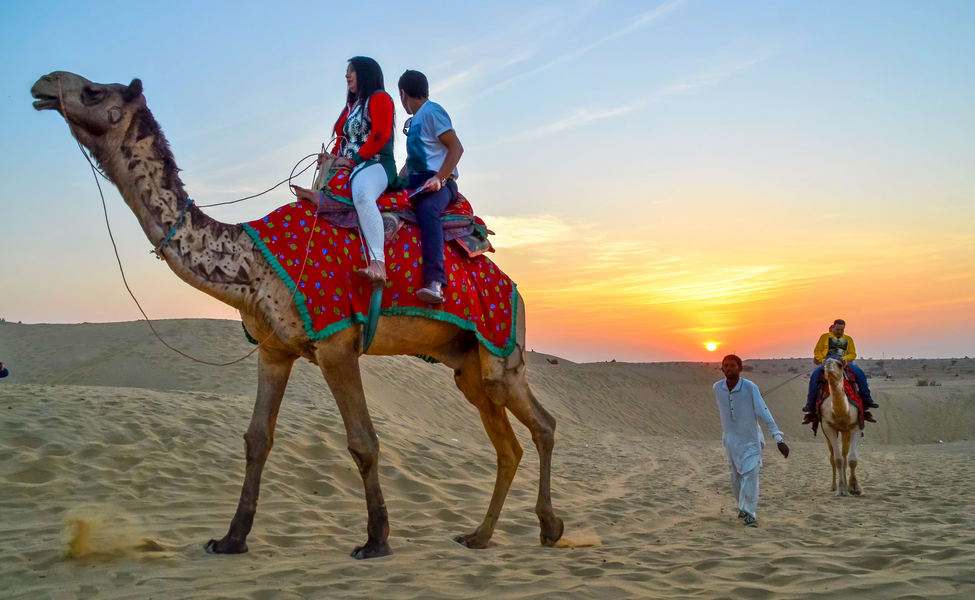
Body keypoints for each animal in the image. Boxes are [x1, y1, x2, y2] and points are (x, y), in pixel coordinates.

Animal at [30, 72, 564, 560]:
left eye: (94, 91)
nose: (43, 84)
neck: (251, 263)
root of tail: (513, 287)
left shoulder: (335, 343)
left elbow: (363, 441)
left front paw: (376, 541)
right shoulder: (274, 349)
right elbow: (256, 439)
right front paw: (231, 539)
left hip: (501, 349)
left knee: (542, 424)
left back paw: (549, 527)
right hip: (466, 363)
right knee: (509, 444)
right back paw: (480, 536)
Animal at [824, 356, 860, 496]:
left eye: (840, 364)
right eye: (824, 364)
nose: (828, 364)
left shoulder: (855, 426)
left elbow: (852, 460)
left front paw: (854, 488)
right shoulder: (828, 427)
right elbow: (837, 460)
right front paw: (840, 489)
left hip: (846, 432)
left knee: (845, 456)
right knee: (833, 457)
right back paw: (834, 486)